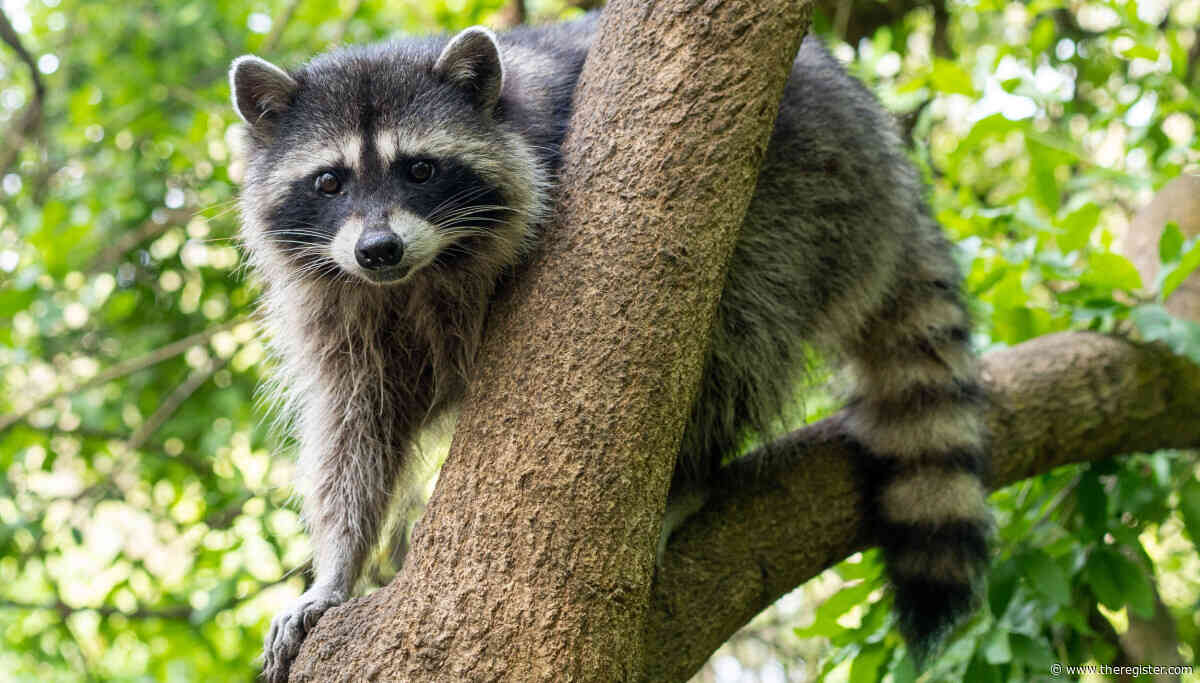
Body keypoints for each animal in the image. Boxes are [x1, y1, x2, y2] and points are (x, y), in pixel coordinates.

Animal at [230, 12, 990, 682]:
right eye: (330, 181)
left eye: (419, 170)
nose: (378, 248)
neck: (417, 273)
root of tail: (887, 157)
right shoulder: (339, 306)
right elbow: (355, 427)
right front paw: (336, 566)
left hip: (809, 193)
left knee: (736, 327)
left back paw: (690, 476)